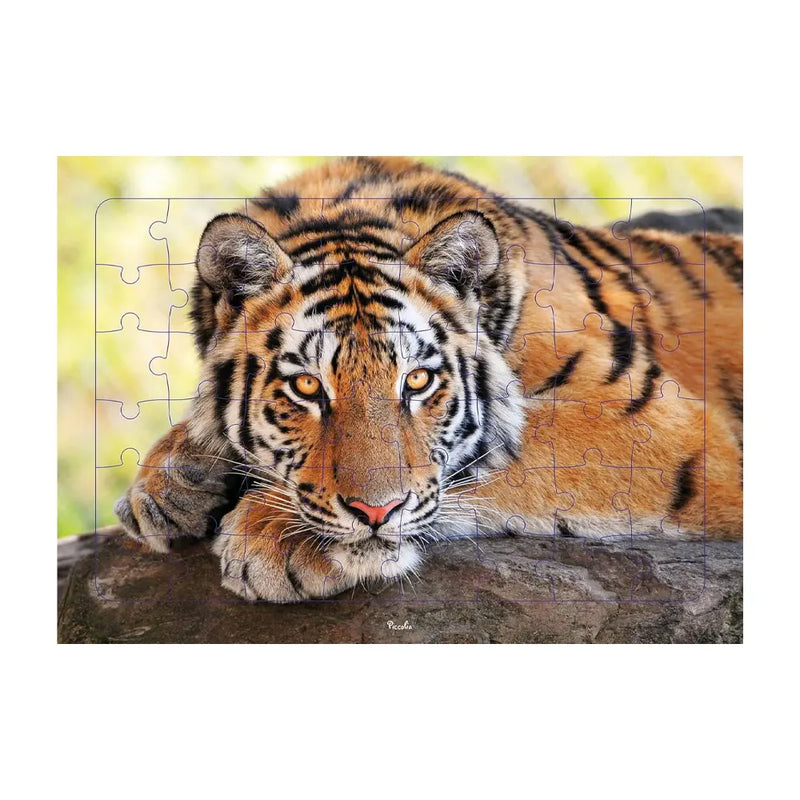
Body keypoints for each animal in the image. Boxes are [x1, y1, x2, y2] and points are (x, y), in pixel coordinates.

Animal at [113, 156, 743, 603]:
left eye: (416, 381)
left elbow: (496, 453)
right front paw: (170, 481)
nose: (375, 514)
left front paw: (273, 534)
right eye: (308, 387)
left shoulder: (655, 419)